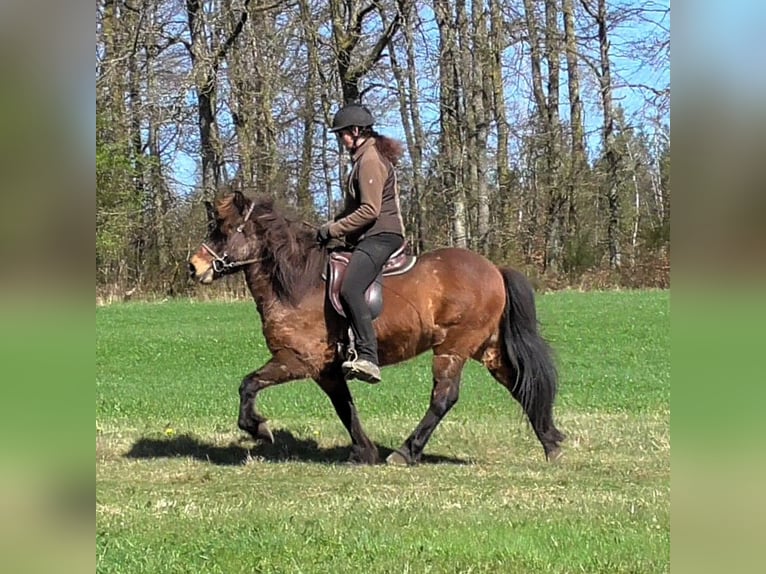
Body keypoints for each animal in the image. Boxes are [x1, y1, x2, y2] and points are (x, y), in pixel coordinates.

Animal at [188, 190, 565, 465]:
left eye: (224, 230)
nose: (194, 266)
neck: (298, 283)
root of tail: (494, 269)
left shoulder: (297, 360)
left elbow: (248, 384)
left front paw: (258, 427)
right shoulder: (327, 370)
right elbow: (345, 407)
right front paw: (363, 451)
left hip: (453, 348)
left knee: (444, 397)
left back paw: (406, 452)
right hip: (486, 348)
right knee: (520, 383)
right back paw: (551, 443)